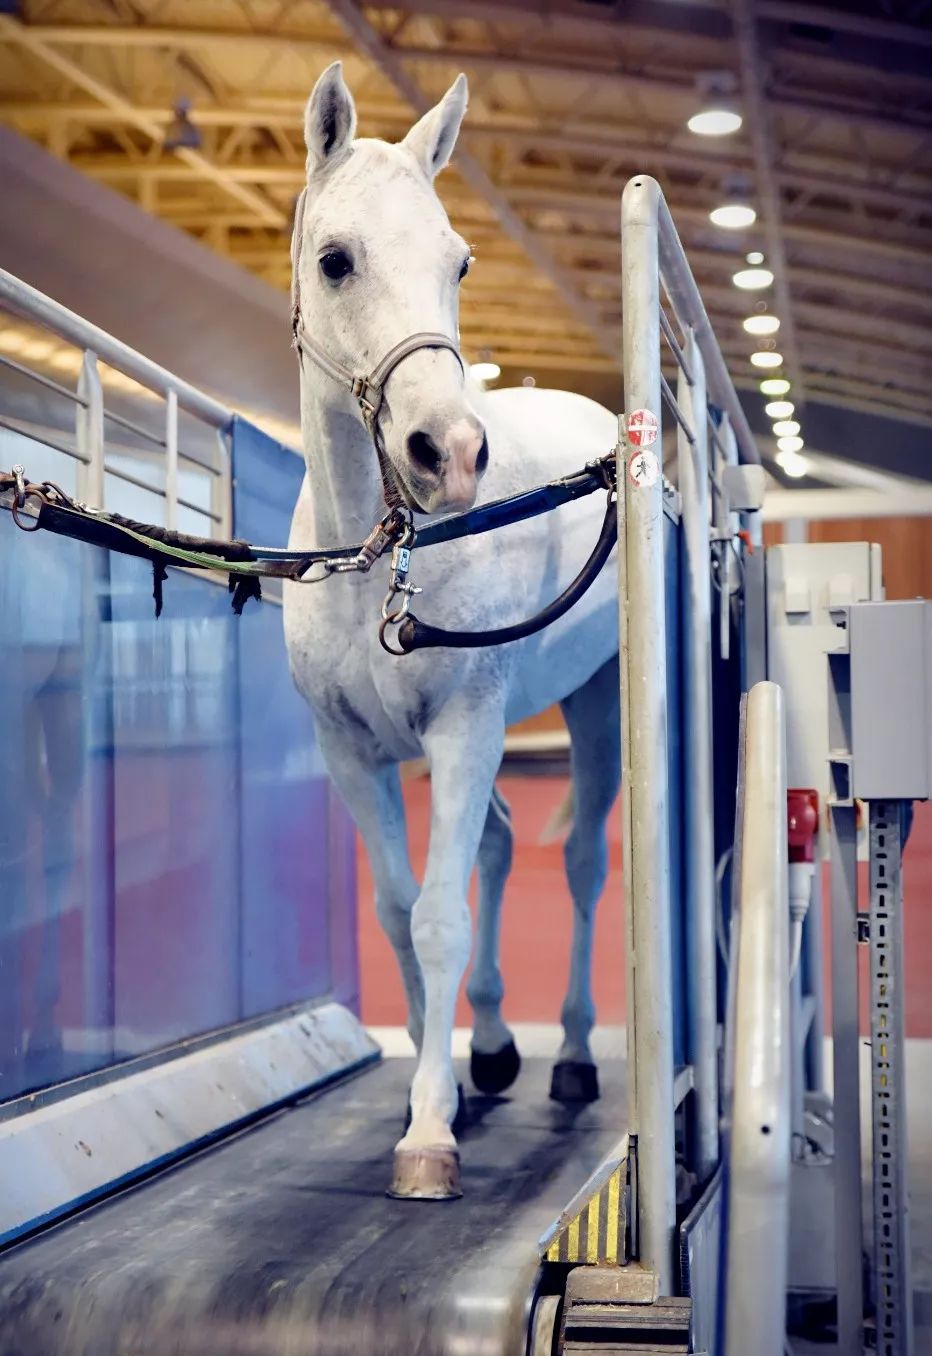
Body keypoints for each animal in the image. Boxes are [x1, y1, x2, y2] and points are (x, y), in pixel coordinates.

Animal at [284, 63, 618, 1198]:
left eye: (459, 261)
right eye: (336, 259)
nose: (450, 452)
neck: (373, 558)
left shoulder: (466, 726)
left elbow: (437, 916)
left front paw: (429, 1131)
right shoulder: (354, 751)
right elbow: (397, 913)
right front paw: (446, 1090)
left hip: (593, 709)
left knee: (580, 861)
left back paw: (568, 1054)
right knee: (507, 842)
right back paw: (495, 1047)